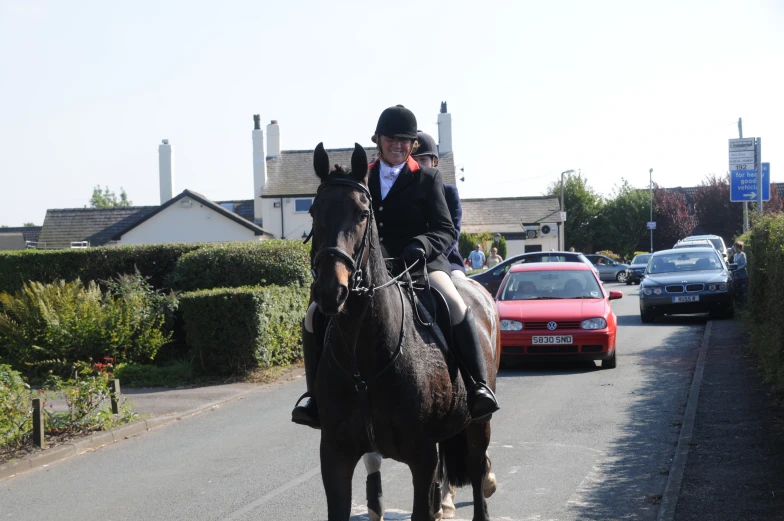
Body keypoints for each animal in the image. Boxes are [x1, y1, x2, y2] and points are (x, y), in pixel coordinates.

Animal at [308, 142, 500, 520]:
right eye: (313, 211)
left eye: (362, 213)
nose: (330, 291)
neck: (364, 360)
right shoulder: (334, 454)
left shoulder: (421, 455)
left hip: (477, 422)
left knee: (476, 468)